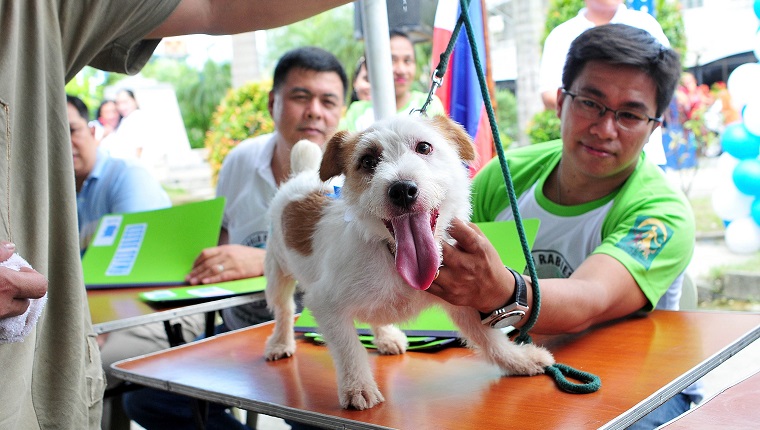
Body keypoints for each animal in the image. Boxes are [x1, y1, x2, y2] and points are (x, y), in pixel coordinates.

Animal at [264, 114, 556, 410]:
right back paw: (280, 343)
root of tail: (301, 176)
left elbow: (489, 338)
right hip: (277, 272)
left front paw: (518, 360)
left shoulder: (462, 298)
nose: (402, 189)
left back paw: (386, 337)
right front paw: (358, 386)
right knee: (285, 310)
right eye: (367, 161)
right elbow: (349, 348)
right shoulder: (326, 304)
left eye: (424, 147)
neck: (392, 254)